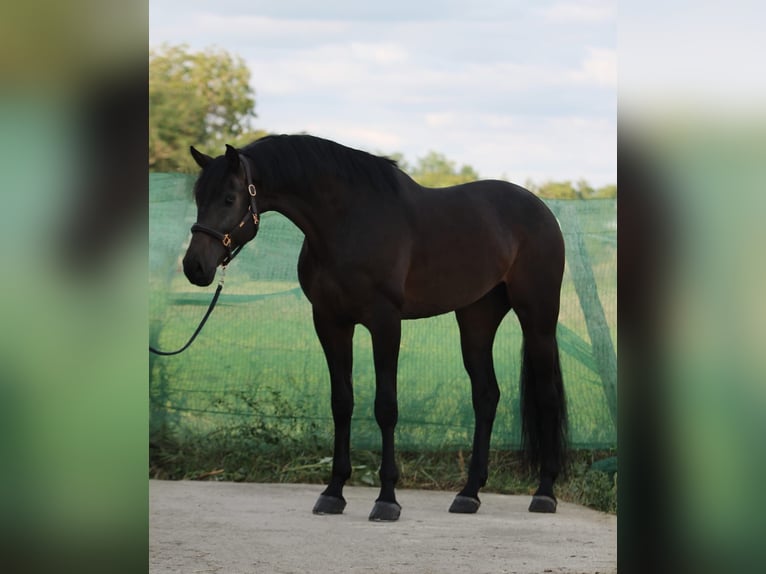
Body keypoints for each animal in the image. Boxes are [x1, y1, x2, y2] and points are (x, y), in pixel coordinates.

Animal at [183, 135, 568, 520]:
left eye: (229, 198)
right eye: (199, 198)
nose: (194, 267)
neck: (349, 222)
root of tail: (542, 209)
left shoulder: (385, 323)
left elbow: (386, 407)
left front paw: (387, 499)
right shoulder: (330, 322)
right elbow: (342, 403)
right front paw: (333, 493)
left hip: (538, 318)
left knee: (547, 396)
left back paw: (544, 493)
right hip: (477, 318)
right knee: (486, 396)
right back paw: (468, 494)